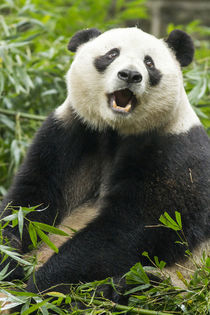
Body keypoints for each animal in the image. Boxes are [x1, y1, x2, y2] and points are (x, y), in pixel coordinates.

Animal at [0, 26, 210, 298]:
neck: (115, 130)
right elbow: (29, 205)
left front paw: (42, 286)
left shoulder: (175, 152)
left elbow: (132, 228)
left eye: (149, 62)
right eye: (112, 54)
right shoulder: (70, 132)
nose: (130, 75)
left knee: (141, 285)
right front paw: (9, 262)